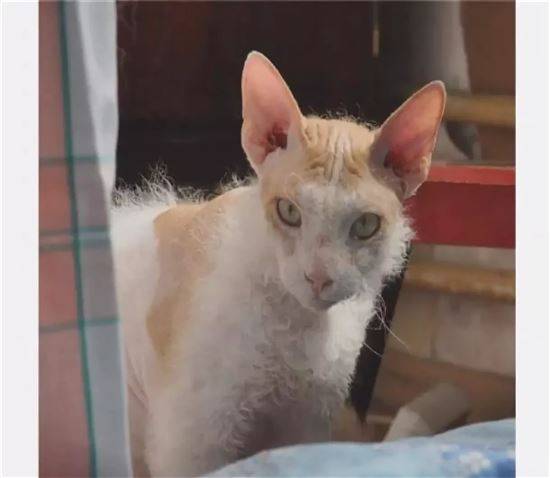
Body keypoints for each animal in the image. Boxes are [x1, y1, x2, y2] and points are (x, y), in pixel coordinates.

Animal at [111, 51, 445, 477]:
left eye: (365, 225)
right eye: (288, 211)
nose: (318, 278)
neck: (302, 331)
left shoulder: (307, 423)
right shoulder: (192, 437)